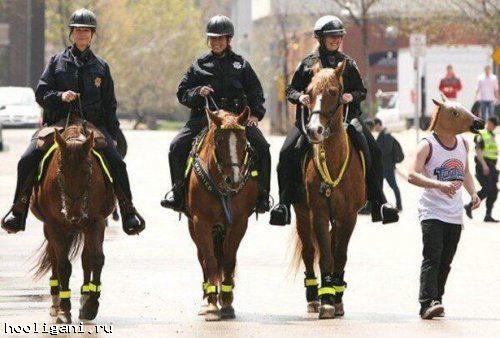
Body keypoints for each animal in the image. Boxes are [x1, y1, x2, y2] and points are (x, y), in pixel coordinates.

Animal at [31, 121, 115, 322]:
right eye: (60, 172)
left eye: (87, 171)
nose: (73, 214)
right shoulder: (54, 225)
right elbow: (63, 265)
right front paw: (64, 309)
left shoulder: (96, 222)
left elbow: (96, 259)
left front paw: (91, 305)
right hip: (52, 228)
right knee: (54, 257)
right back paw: (56, 302)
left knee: (86, 258)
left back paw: (84, 297)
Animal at [187, 107, 258, 320]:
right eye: (218, 141)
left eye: (243, 141)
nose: (233, 180)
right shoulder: (200, 222)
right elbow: (210, 261)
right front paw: (211, 304)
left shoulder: (238, 223)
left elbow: (228, 260)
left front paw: (226, 302)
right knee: (203, 257)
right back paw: (206, 298)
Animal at [292, 61, 368, 320]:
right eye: (309, 91)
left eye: (334, 92)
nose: (314, 130)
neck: (333, 161)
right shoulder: (319, 213)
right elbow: (325, 254)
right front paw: (326, 300)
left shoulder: (349, 216)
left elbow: (339, 254)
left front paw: (337, 298)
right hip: (302, 213)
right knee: (308, 251)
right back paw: (313, 297)